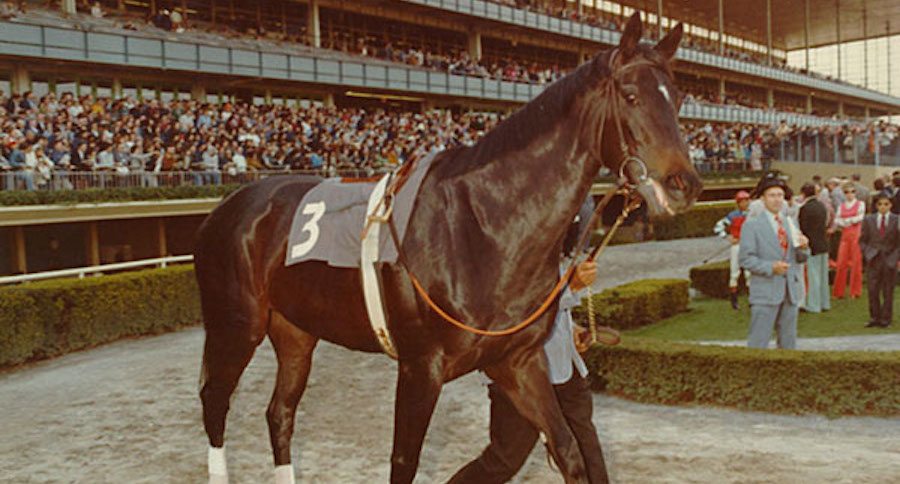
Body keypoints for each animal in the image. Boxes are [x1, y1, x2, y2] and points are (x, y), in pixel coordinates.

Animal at [195, 13, 701, 484]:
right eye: (631, 95)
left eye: (676, 99)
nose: (685, 184)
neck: (482, 227)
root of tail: (227, 208)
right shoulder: (421, 368)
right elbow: (405, 462)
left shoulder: (517, 363)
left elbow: (568, 450)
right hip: (236, 326)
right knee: (214, 403)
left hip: (296, 332)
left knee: (279, 413)